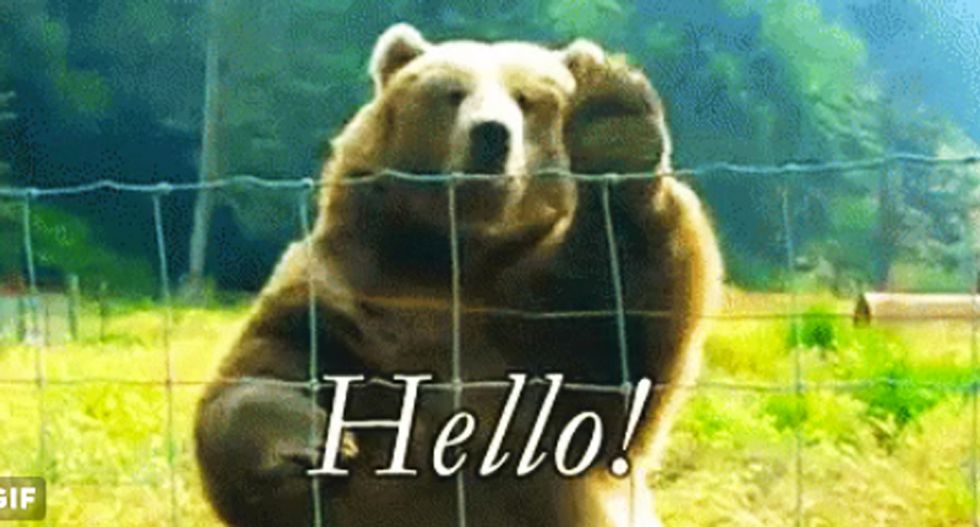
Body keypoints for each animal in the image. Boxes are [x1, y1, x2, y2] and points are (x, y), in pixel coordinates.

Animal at [194, 23, 722, 527]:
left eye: (527, 99)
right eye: (452, 93)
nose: (490, 134)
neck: (455, 257)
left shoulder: (541, 324)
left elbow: (613, 360)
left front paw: (612, 124)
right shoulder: (347, 297)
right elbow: (263, 370)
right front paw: (309, 443)